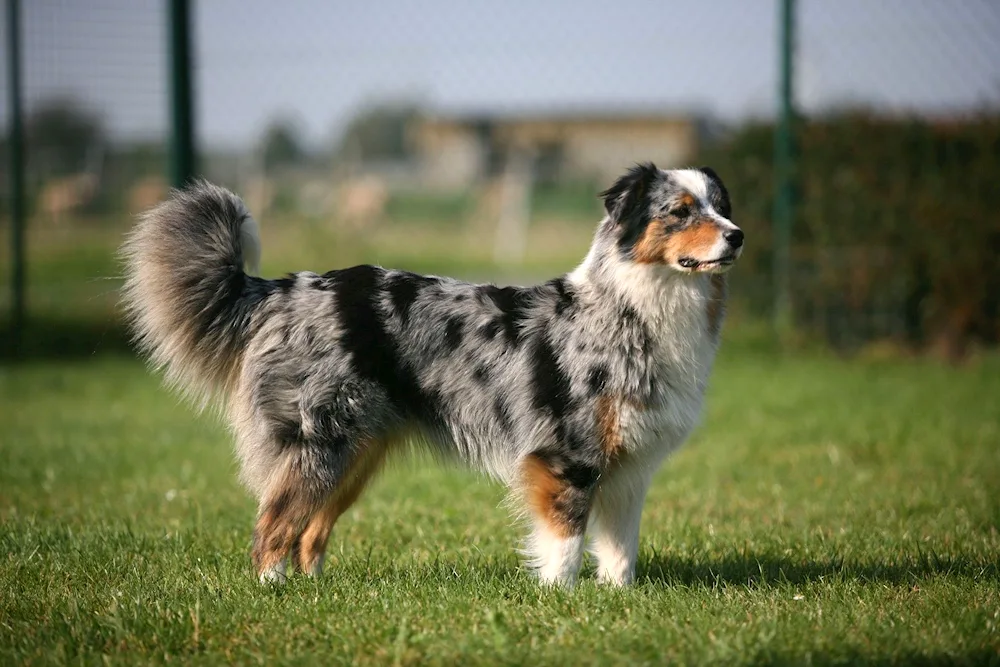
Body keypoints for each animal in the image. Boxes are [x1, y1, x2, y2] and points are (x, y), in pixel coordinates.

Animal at [119, 164, 744, 588]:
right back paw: (274, 590)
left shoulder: (630, 469)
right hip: (318, 443)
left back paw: (315, 591)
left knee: (311, 530)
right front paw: (561, 601)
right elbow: (566, 543)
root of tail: (281, 289)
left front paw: (616, 600)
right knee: (273, 524)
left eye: (720, 205)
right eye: (679, 210)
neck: (638, 306)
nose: (737, 235)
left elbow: (619, 550)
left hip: (356, 453)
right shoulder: (569, 457)